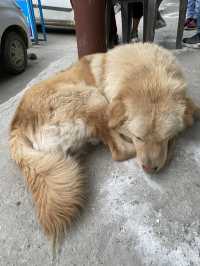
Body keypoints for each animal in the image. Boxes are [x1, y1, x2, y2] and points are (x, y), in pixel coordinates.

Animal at [9, 43, 200, 243]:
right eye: (139, 137)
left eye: (163, 138)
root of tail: (16, 127)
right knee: (119, 150)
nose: (149, 168)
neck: (146, 71)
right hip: (92, 96)